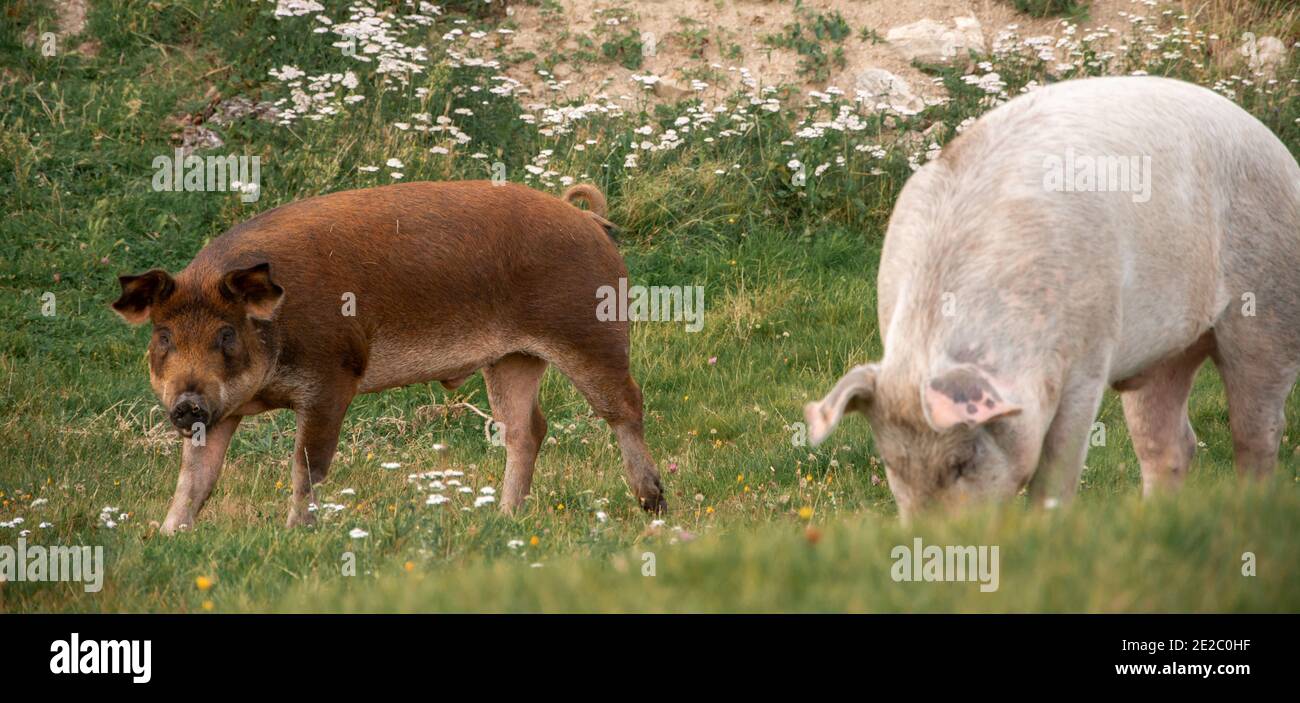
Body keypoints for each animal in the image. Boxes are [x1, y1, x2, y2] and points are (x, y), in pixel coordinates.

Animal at [113, 180, 665, 532]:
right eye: (164, 336)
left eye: (226, 334)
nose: (186, 404)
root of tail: (587, 218)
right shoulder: (221, 412)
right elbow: (197, 478)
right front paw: (167, 534)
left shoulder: (334, 377)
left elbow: (307, 465)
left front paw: (296, 533)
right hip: (512, 358)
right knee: (526, 428)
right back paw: (504, 519)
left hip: (591, 332)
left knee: (626, 406)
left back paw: (654, 505)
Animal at [800, 75, 1300, 514]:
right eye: (891, 464)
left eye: (962, 462)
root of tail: (1281, 152)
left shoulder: (1088, 358)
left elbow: (1058, 464)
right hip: (1164, 352)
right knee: (1171, 443)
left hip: (1268, 309)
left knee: (1258, 431)